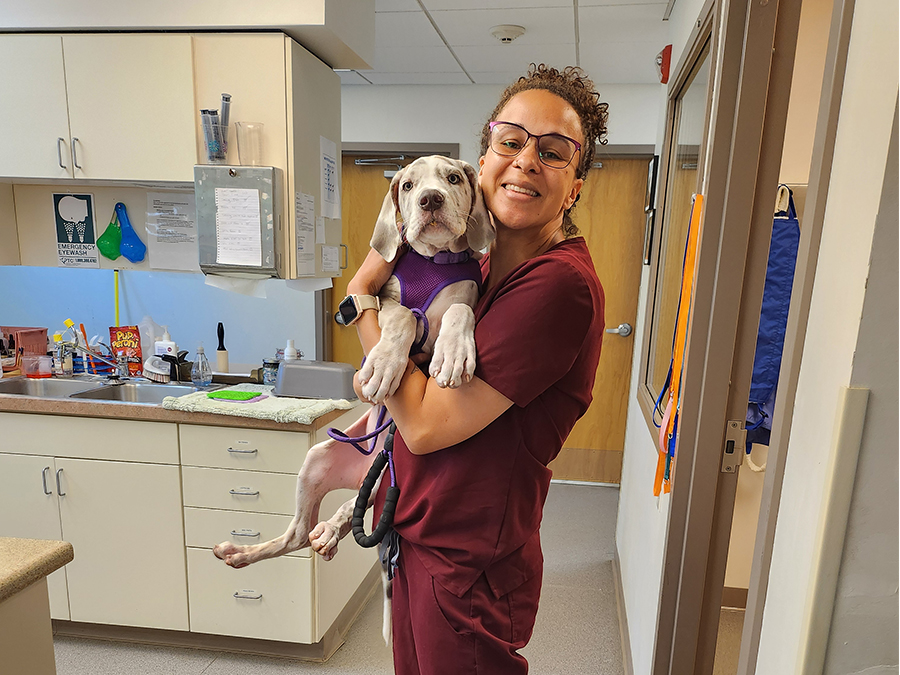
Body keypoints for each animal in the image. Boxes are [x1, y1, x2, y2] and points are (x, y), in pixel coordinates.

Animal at [214, 157, 492, 644]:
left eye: (454, 178)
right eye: (407, 185)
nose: (430, 200)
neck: (436, 260)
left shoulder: (467, 298)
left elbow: (459, 311)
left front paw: (454, 352)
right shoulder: (387, 302)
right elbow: (402, 317)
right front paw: (381, 366)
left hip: (378, 477)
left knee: (324, 524)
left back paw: (323, 531)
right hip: (319, 460)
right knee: (296, 534)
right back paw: (251, 551)